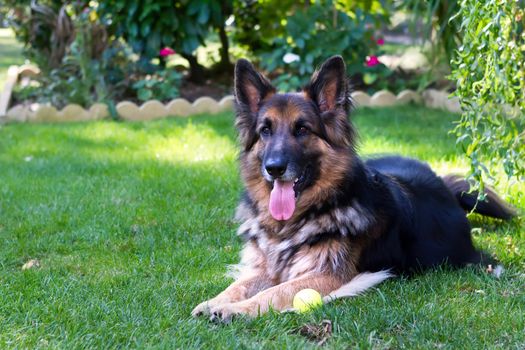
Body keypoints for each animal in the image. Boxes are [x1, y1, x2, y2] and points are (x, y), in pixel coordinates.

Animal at [191, 55, 512, 322]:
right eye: (265, 131)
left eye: (302, 129)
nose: (274, 168)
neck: (296, 221)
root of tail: (443, 185)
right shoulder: (266, 267)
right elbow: (238, 285)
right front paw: (215, 301)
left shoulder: (327, 275)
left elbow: (274, 292)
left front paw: (236, 310)